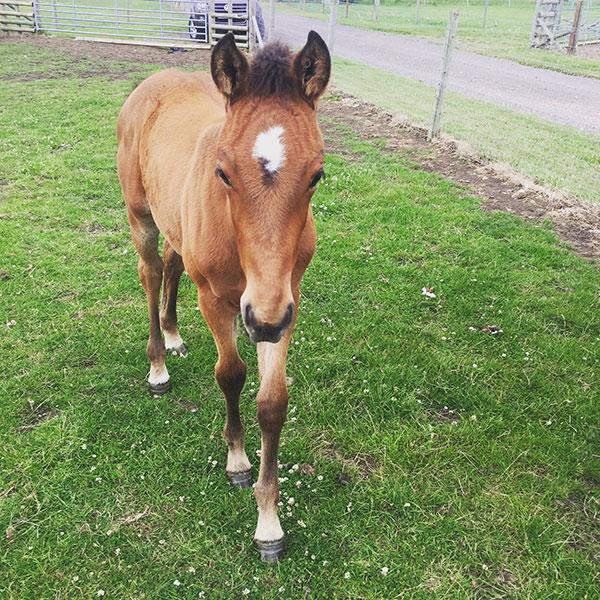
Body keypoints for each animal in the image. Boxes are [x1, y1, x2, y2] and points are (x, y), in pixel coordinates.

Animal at [117, 31, 332, 556]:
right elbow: (231, 375)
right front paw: (237, 461)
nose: (263, 320)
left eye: (316, 175)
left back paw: (174, 337)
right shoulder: (219, 301)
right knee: (152, 272)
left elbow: (272, 402)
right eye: (224, 172)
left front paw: (269, 523)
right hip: (140, 216)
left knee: (173, 263)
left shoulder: (285, 303)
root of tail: (155, 80)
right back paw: (158, 364)